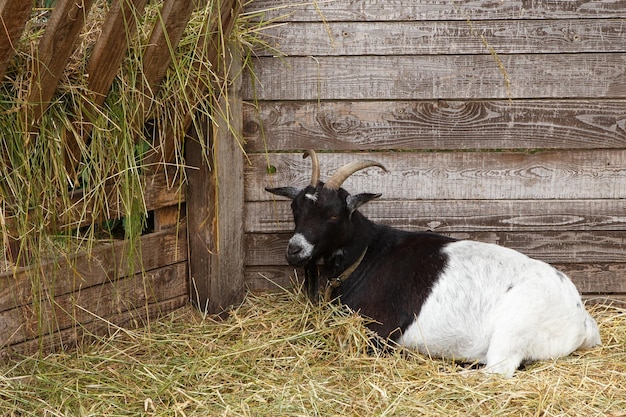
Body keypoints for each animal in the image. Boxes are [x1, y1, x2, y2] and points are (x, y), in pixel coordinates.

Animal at [264, 150, 600, 376]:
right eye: (295, 209)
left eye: (333, 214)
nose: (294, 250)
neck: (367, 255)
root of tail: (581, 320)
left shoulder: (377, 332)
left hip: (514, 328)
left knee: (497, 370)